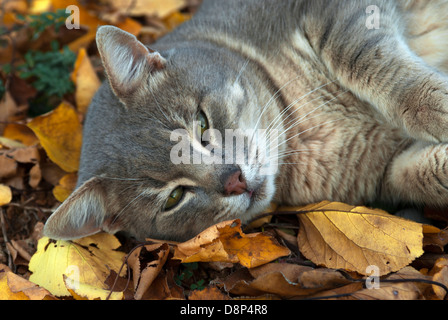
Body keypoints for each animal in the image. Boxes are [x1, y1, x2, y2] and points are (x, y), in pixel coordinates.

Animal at [43, 0, 448, 240]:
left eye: (202, 124)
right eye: (173, 198)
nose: (234, 180)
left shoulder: (336, 16)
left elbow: (368, 63)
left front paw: (439, 109)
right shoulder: (386, 170)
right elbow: (423, 173)